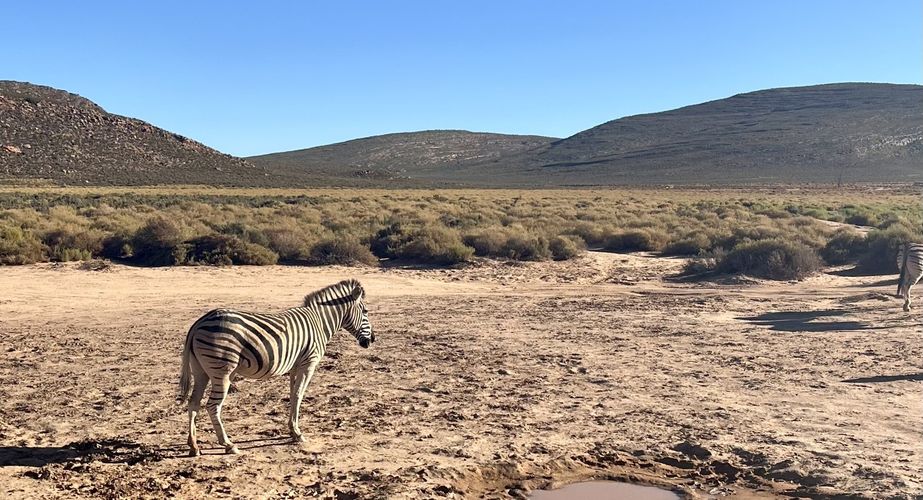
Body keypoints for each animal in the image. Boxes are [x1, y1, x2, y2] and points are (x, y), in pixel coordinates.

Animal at [177, 278, 374, 456]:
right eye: (365, 311)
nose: (372, 340)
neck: (319, 321)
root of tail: (199, 322)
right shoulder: (308, 363)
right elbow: (299, 395)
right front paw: (297, 433)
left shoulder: (295, 366)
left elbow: (293, 395)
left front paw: (292, 430)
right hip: (222, 372)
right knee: (212, 406)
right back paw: (228, 444)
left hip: (201, 370)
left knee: (193, 403)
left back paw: (193, 446)